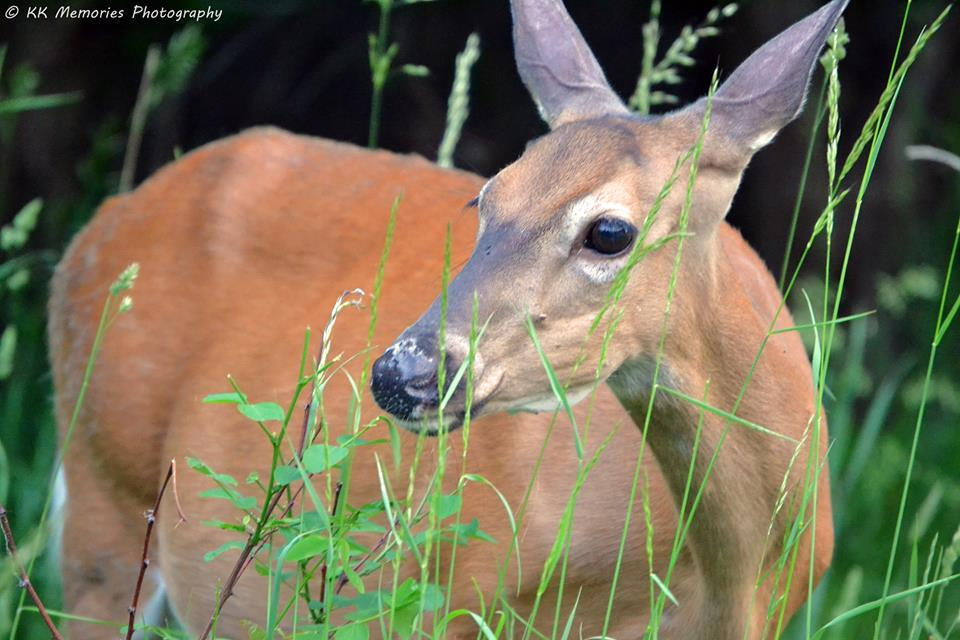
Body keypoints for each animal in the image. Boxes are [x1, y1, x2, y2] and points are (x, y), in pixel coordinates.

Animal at [48, 0, 843, 638]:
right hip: (104, 494)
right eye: (487, 196)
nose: (404, 371)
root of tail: (96, 227)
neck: (723, 586)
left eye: (610, 231)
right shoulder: (448, 595)